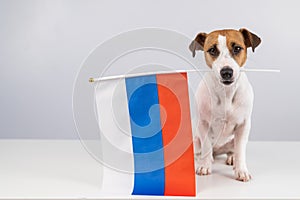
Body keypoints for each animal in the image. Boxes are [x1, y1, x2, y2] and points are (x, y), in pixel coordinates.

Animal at [190, 28, 260, 181]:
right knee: (203, 151)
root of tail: (218, 150)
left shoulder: (243, 125)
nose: (226, 72)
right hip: (196, 141)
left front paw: (241, 170)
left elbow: (240, 150)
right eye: (212, 50)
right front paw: (204, 166)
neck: (226, 93)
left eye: (237, 48)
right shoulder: (203, 123)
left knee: (232, 150)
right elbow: (206, 146)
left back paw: (231, 158)